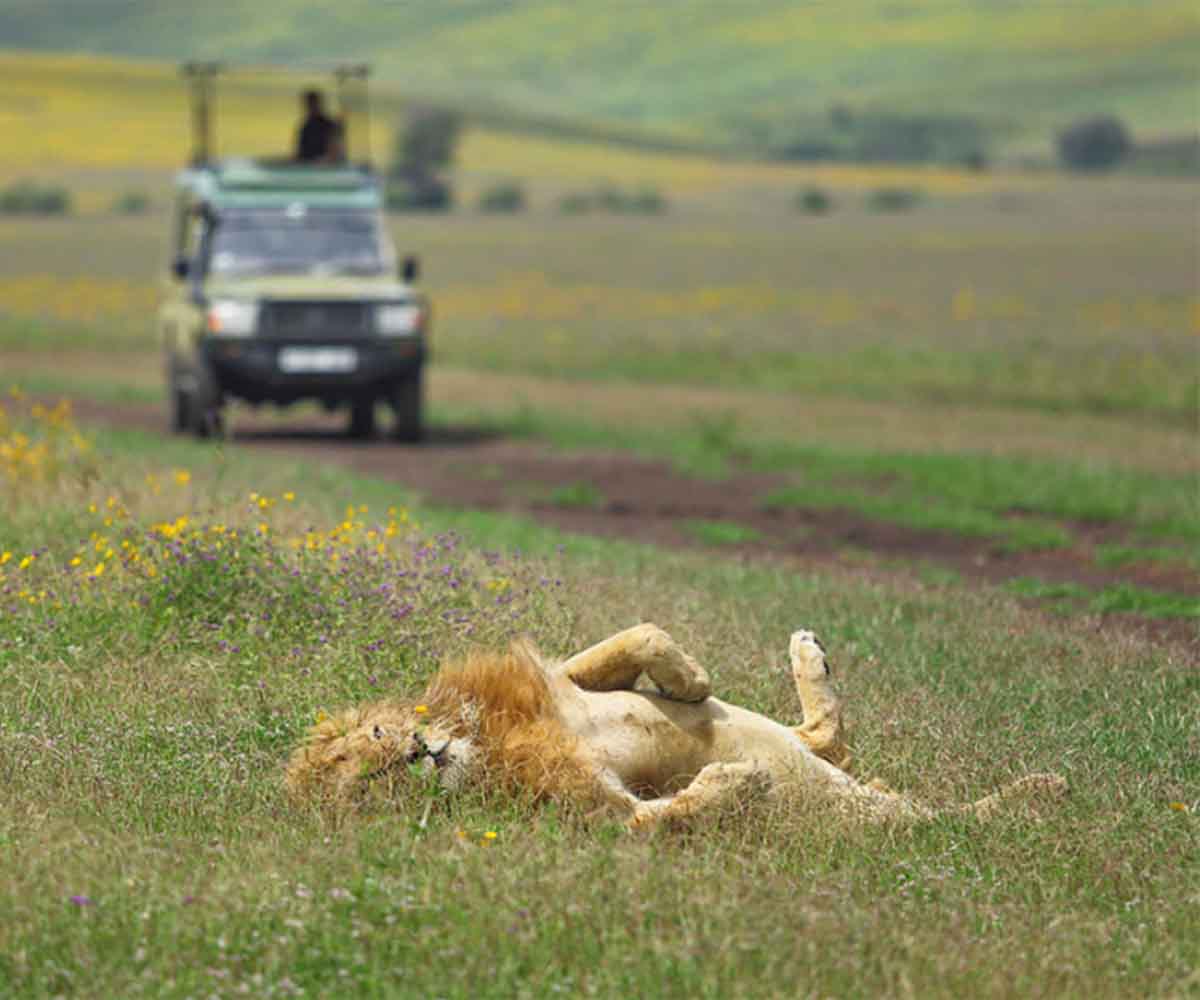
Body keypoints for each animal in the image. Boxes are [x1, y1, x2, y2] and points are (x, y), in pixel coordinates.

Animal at [285, 624, 1065, 828]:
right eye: (368, 788)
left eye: (376, 744)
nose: (419, 754)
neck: (484, 745)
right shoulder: (602, 816)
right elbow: (665, 815)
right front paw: (738, 783)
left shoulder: (563, 684)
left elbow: (637, 639)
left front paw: (689, 678)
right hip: (872, 817)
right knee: (945, 820)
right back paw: (1042, 791)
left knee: (826, 736)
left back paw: (809, 652)